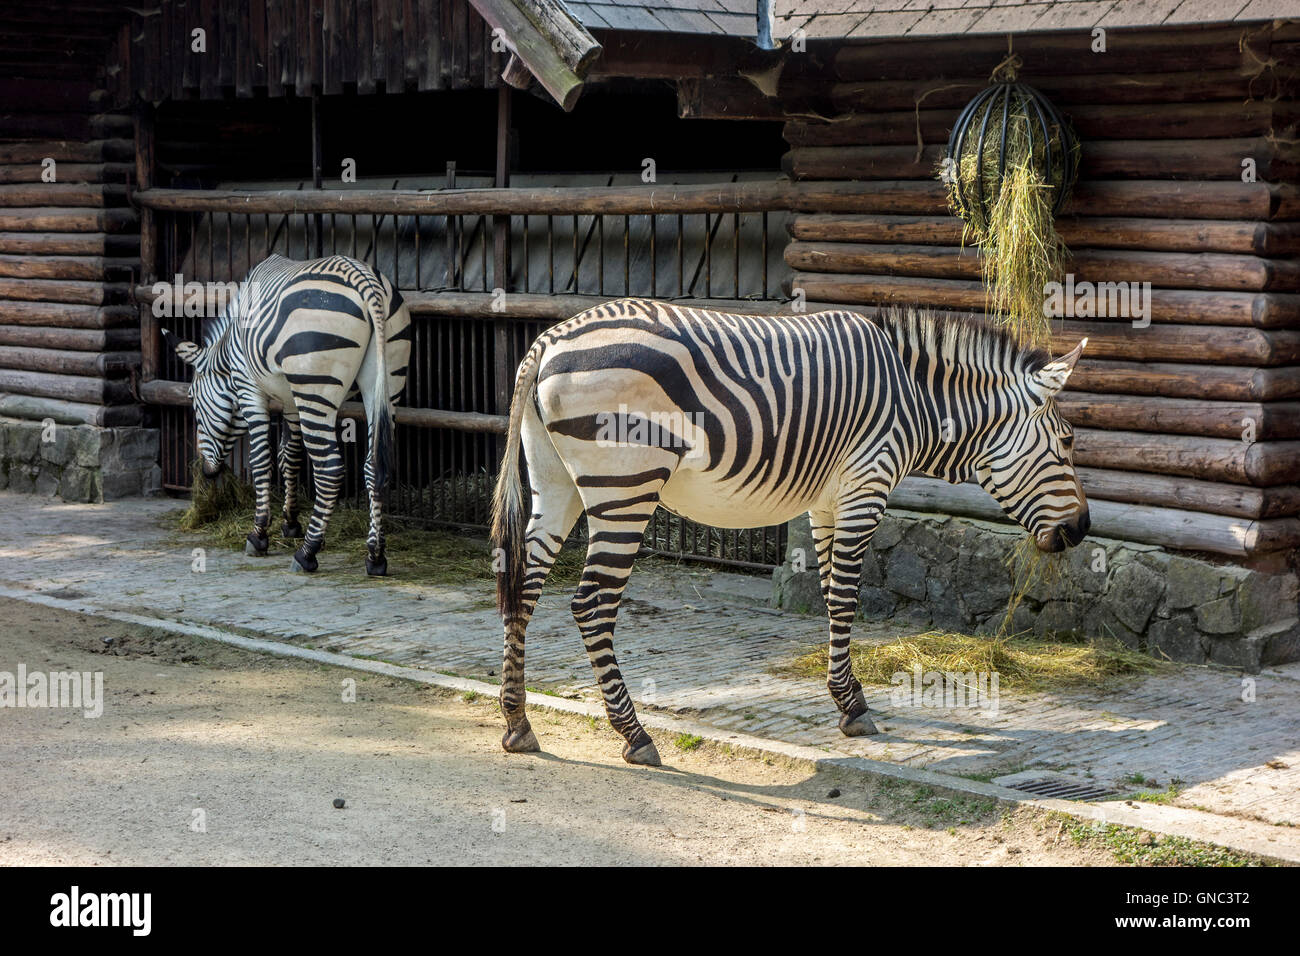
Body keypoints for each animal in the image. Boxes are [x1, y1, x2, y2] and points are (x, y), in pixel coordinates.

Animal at [164, 254, 411, 576]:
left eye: (192, 398)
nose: (206, 472)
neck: (229, 354)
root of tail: (364, 280)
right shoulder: (292, 398)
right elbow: (289, 455)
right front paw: (291, 522)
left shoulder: (249, 388)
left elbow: (262, 459)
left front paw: (259, 534)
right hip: (387, 379)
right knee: (374, 467)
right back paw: (375, 555)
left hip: (316, 385)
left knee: (330, 469)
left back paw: (307, 553)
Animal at [491, 298, 1090, 766]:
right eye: (1067, 441)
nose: (1082, 529)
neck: (915, 399)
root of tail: (548, 340)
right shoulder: (866, 486)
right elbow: (846, 597)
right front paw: (853, 709)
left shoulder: (826, 501)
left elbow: (827, 593)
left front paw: (845, 693)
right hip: (625, 485)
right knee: (591, 604)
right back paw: (634, 735)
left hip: (555, 480)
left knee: (523, 586)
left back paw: (518, 723)